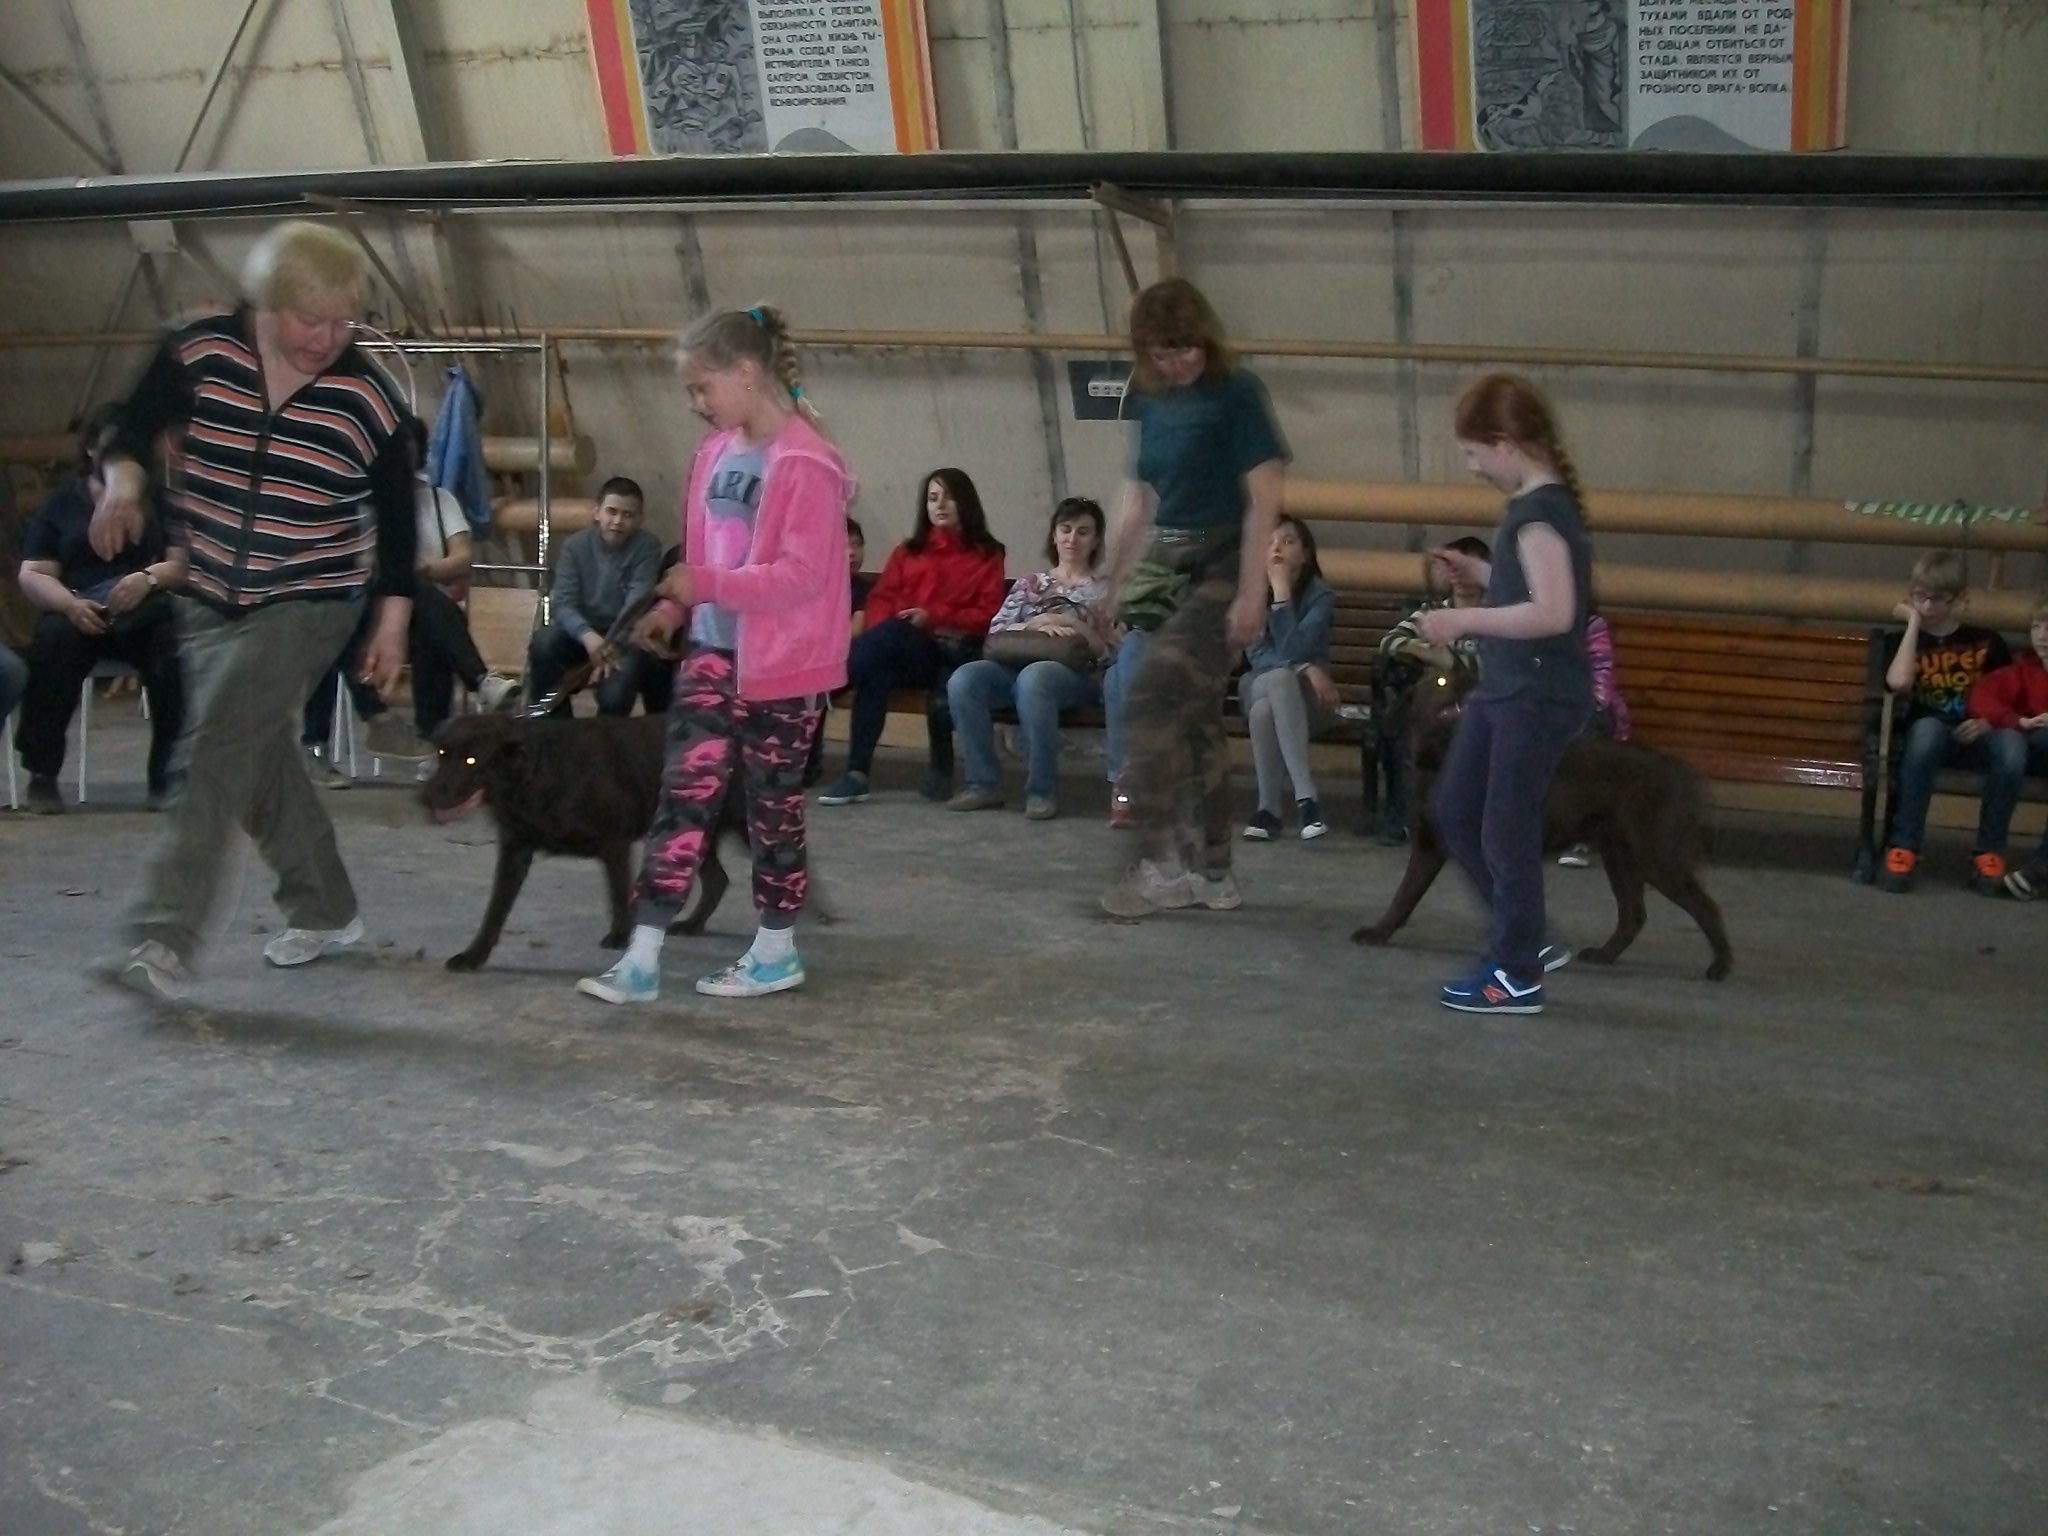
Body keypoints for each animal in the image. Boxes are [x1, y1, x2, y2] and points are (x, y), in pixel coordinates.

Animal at [1351, 672, 1733, 981]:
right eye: (1442, 681)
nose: (1469, 674)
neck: (1444, 756)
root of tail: (1676, 767)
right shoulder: (1429, 846)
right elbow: (1404, 897)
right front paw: (1379, 932)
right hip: (1620, 854)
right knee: (1633, 915)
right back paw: (1604, 954)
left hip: (1655, 854)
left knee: (1705, 905)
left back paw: (1721, 966)